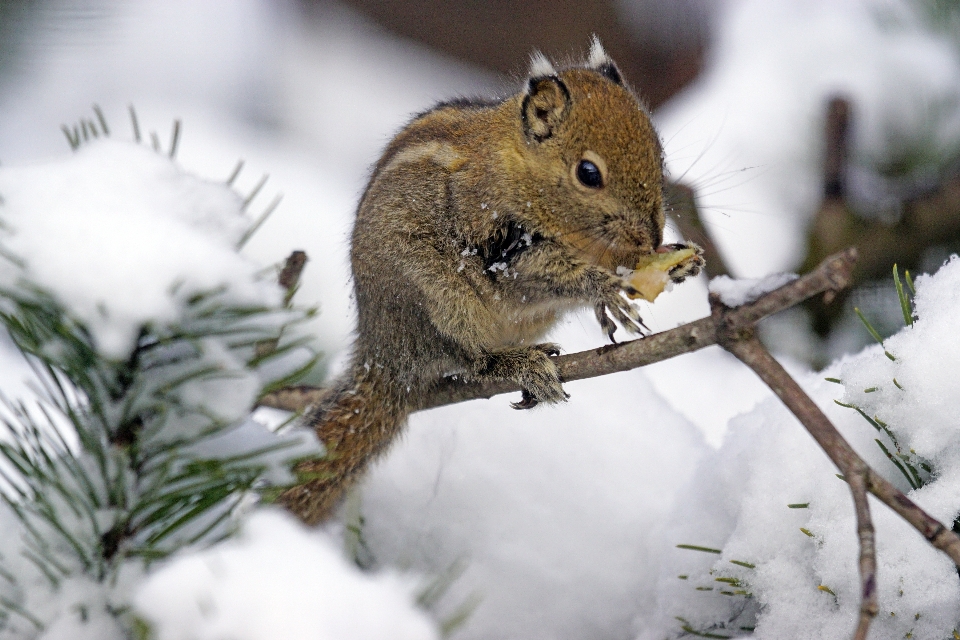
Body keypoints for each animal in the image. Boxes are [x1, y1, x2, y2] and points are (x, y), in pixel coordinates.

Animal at [282, 37, 700, 524]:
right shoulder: (497, 243)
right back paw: (518, 365)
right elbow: (548, 276)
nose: (651, 236)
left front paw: (675, 263)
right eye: (588, 173)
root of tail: (382, 357)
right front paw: (606, 288)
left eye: (658, 152)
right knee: (470, 359)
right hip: (439, 304)